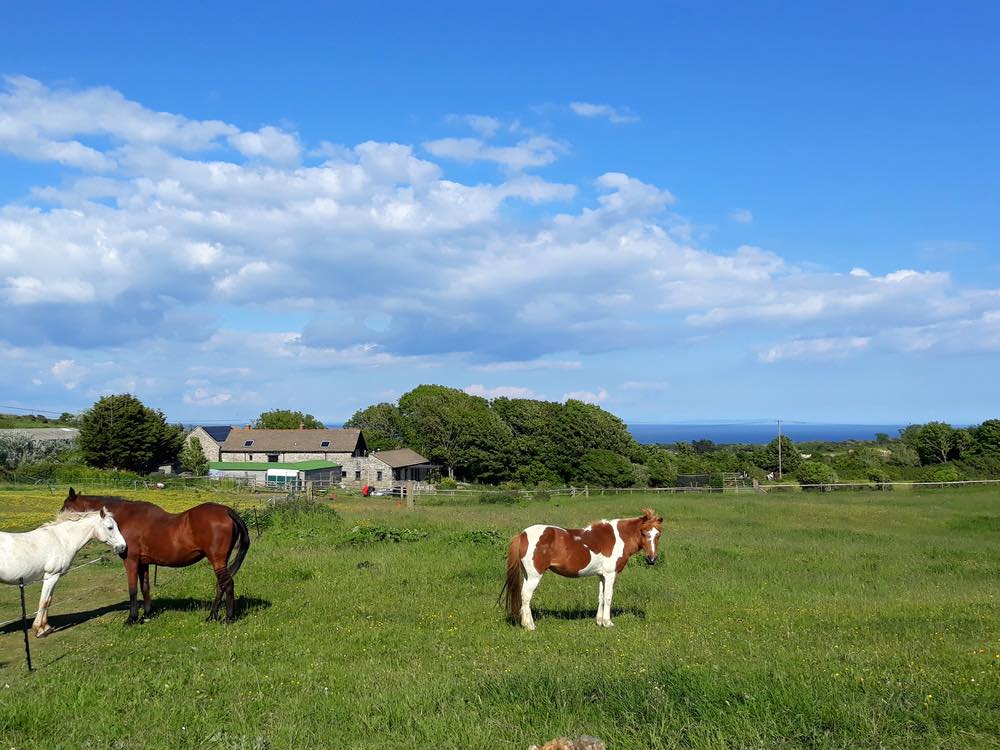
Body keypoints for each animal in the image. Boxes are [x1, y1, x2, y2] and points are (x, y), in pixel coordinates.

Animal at [0, 508, 127, 636]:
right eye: (110, 527)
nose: (123, 547)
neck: (62, 540)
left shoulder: (55, 577)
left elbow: (49, 601)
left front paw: (46, 627)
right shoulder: (51, 576)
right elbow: (43, 602)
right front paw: (39, 630)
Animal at [63, 488, 250, 624]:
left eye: (65, 507)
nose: (59, 519)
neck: (124, 519)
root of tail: (227, 511)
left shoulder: (131, 561)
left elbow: (132, 589)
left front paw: (132, 618)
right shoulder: (143, 563)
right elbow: (145, 587)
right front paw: (147, 614)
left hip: (217, 560)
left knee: (227, 584)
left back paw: (228, 618)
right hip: (221, 561)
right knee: (221, 585)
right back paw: (212, 616)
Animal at [500, 508, 664, 632]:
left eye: (658, 535)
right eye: (643, 532)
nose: (651, 559)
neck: (618, 538)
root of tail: (522, 535)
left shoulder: (602, 576)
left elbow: (601, 597)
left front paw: (599, 621)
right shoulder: (610, 575)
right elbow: (608, 597)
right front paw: (608, 622)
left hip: (528, 575)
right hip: (535, 575)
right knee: (526, 596)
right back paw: (529, 625)